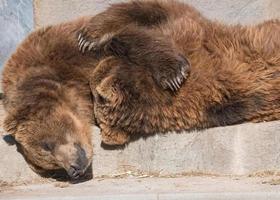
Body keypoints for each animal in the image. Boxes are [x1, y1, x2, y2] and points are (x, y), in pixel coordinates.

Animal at [2, 0, 280, 178]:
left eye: (47, 144)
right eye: (50, 166)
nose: (74, 170)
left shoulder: (61, 53)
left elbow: (127, 37)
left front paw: (173, 71)